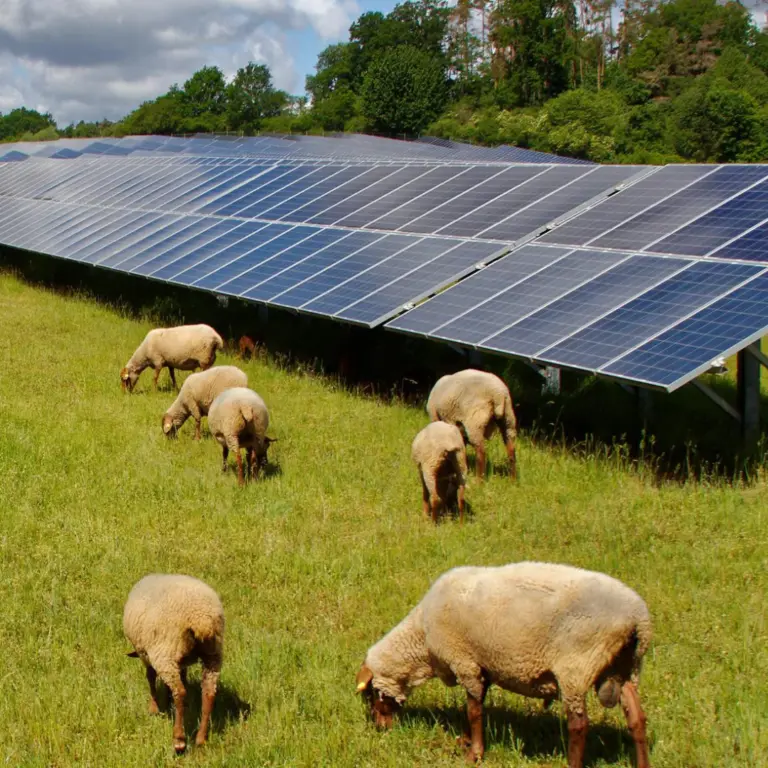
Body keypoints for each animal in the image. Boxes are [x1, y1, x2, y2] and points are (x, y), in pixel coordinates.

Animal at [124, 572, 225, 752]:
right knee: (208, 693)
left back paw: (179, 740)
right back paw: (201, 739)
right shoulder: (181, 661)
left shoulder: (146, 654)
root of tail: (201, 619)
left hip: (165, 652)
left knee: (180, 692)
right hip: (213, 654)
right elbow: (181, 675)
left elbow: (150, 677)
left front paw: (154, 708)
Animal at [356, 560, 652, 768]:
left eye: (370, 695)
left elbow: (474, 710)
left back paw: (572, 763)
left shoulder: (465, 661)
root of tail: (638, 618)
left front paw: (475, 753)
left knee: (579, 724)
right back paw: (642, 762)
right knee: (637, 718)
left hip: (577, 666)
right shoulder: (481, 666)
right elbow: (475, 705)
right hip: (625, 668)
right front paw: (465, 741)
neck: (421, 640)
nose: (381, 728)